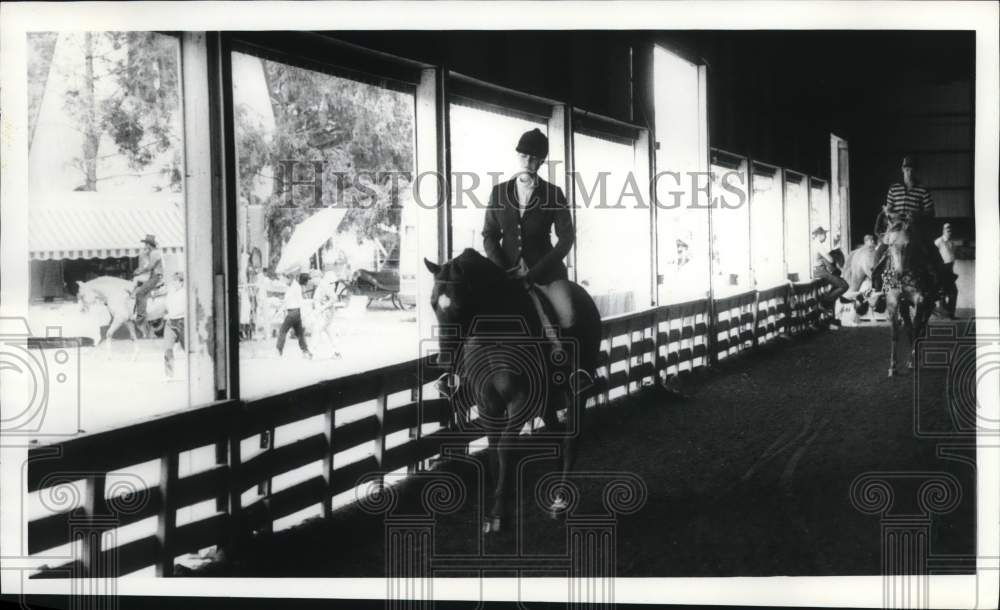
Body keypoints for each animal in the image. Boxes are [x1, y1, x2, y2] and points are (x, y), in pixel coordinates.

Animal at [424, 247, 600, 532]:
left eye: (460, 304)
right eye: (432, 304)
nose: (443, 360)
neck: (496, 334)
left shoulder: (521, 401)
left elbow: (505, 448)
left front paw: (498, 514)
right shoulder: (487, 404)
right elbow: (494, 450)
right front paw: (497, 508)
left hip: (576, 391)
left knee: (570, 439)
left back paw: (560, 501)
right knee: (554, 433)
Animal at [884, 216, 936, 372]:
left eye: (908, 244)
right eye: (890, 244)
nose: (899, 274)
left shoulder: (920, 300)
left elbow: (916, 328)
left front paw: (912, 361)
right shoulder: (893, 300)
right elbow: (896, 332)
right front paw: (892, 366)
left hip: (929, 304)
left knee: (920, 328)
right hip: (905, 306)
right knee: (909, 328)